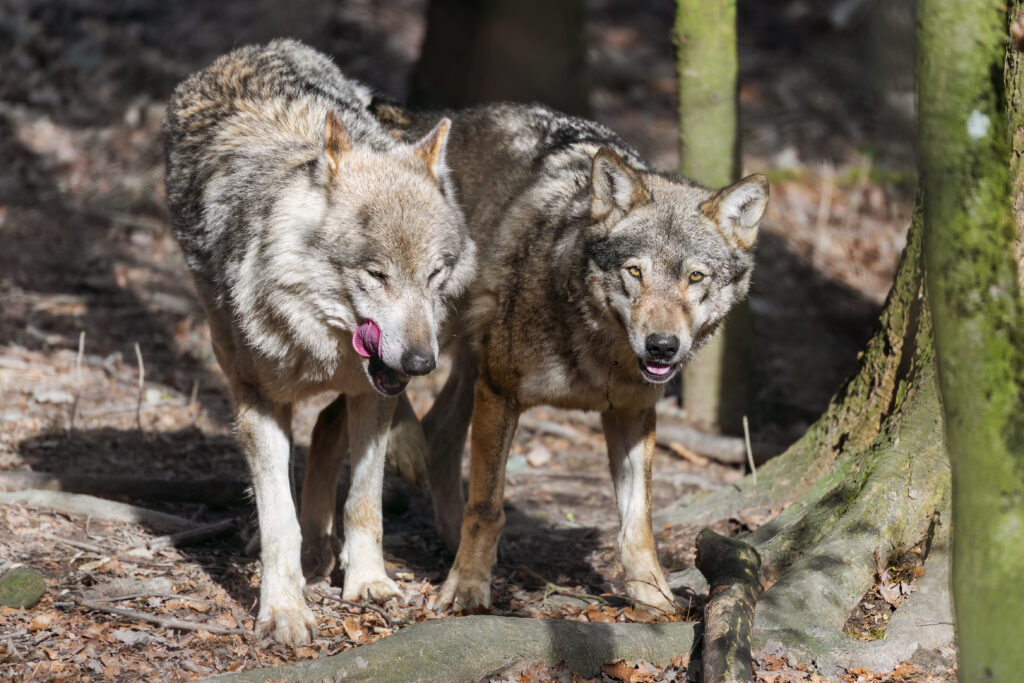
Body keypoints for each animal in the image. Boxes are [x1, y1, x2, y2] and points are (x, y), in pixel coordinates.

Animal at [163, 40, 475, 645]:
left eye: (433, 274)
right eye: (376, 275)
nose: (421, 362)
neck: (320, 346)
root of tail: (257, 48)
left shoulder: (374, 391)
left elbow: (363, 502)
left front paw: (368, 582)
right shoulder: (257, 401)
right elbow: (278, 515)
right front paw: (283, 609)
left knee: (332, 433)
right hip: (231, 356)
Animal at [320, 101, 768, 614]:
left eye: (695, 278)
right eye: (635, 271)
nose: (661, 346)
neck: (598, 355)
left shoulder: (633, 413)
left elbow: (638, 524)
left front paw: (654, 598)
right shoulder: (501, 394)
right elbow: (487, 508)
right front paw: (468, 588)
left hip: (471, 364)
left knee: (420, 434)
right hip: (431, 331)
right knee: (381, 389)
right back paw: (398, 455)